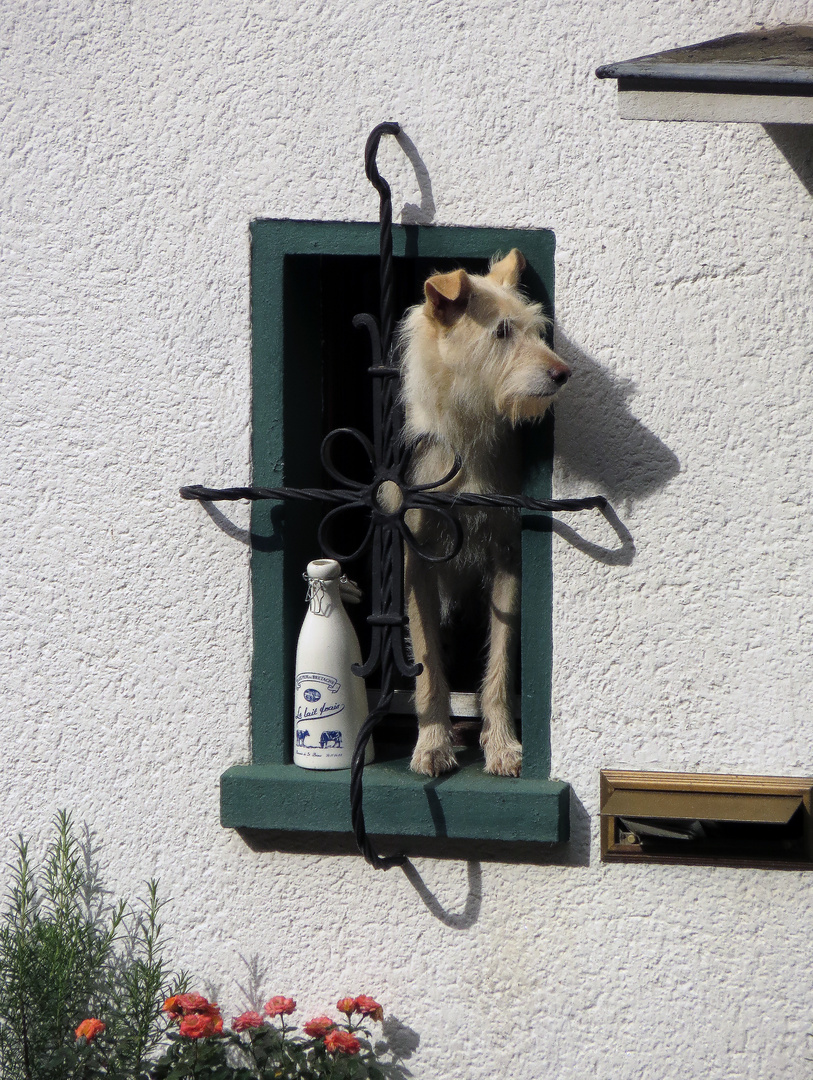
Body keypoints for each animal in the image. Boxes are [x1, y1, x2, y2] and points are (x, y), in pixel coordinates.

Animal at [399, 250, 570, 777]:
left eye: (537, 329)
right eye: (501, 332)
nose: (564, 373)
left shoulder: (507, 557)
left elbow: (498, 664)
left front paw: (502, 745)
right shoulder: (417, 565)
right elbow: (429, 664)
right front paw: (432, 741)